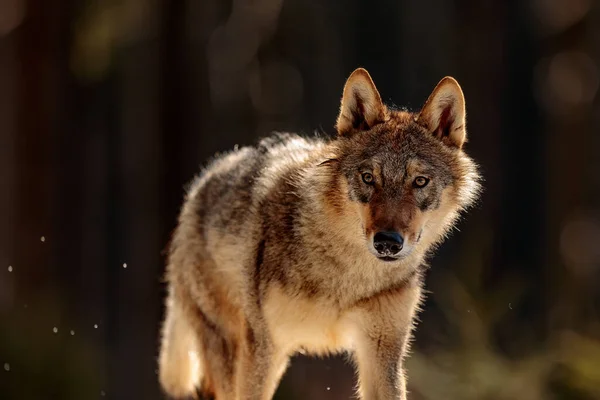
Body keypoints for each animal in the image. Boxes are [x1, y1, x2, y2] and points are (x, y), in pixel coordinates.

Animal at [157, 69, 480, 400]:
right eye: (368, 178)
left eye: (420, 181)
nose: (387, 243)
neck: (347, 275)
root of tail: (200, 184)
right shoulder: (263, 347)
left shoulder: (383, 353)